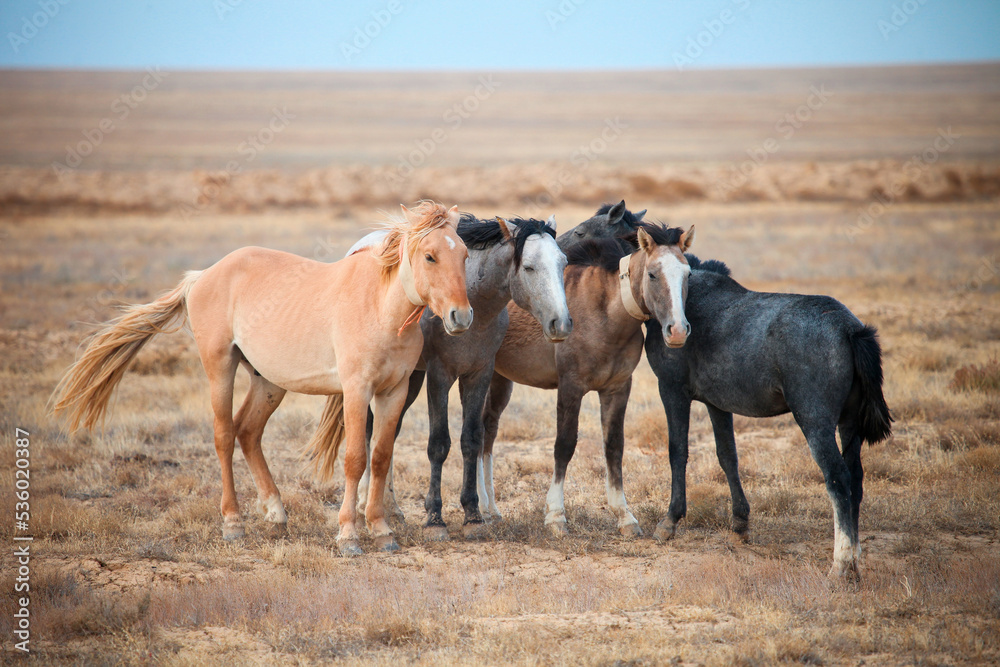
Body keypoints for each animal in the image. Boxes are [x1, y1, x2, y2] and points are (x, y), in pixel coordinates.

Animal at [51, 201, 473, 556]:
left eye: (465, 255)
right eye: (430, 256)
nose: (461, 317)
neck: (379, 306)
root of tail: (202, 276)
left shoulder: (393, 392)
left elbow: (382, 458)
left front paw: (382, 531)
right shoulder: (356, 391)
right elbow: (355, 458)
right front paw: (348, 535)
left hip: (268, 382)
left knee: (248, 432)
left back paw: (276, 514)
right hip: (220, 368)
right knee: (224, 435)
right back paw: (233, 522)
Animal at [346, 214, 572, 540]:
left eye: (563, 263)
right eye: (529, 267)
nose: (561, 324)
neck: (475, 305)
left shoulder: (478, 374)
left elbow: (472, 440)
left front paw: (473, 514)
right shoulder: (440, 375)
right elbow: (439, 444)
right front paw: (434, 519)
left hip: (409, 380)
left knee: (388, 434)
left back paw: (392, 510)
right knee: (367, 431)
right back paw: (366, 505)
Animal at [480, 223, 695, 536]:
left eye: (688, 274)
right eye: (653, 274)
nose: (677, 330)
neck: (604, 312)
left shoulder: (617, 389)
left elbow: (614, 447)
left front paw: (625, 516)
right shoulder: (571, 387)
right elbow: (564, 446)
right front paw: (556, 516)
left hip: (499, 380)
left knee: (488, 431)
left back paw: (490, 510)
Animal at [559, 203, 893, 577]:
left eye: (583, 231)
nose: (557, 248)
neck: (686, 297)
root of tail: (850, 328)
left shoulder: (672, 390)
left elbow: (678, 451)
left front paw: (670, 522)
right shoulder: (717, 403)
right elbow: (727, 456)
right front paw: (740, 524)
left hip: (815, 422)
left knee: (838, 480)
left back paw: (841, 563)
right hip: (849, 423)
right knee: (856, 478)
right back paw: (856, 556)